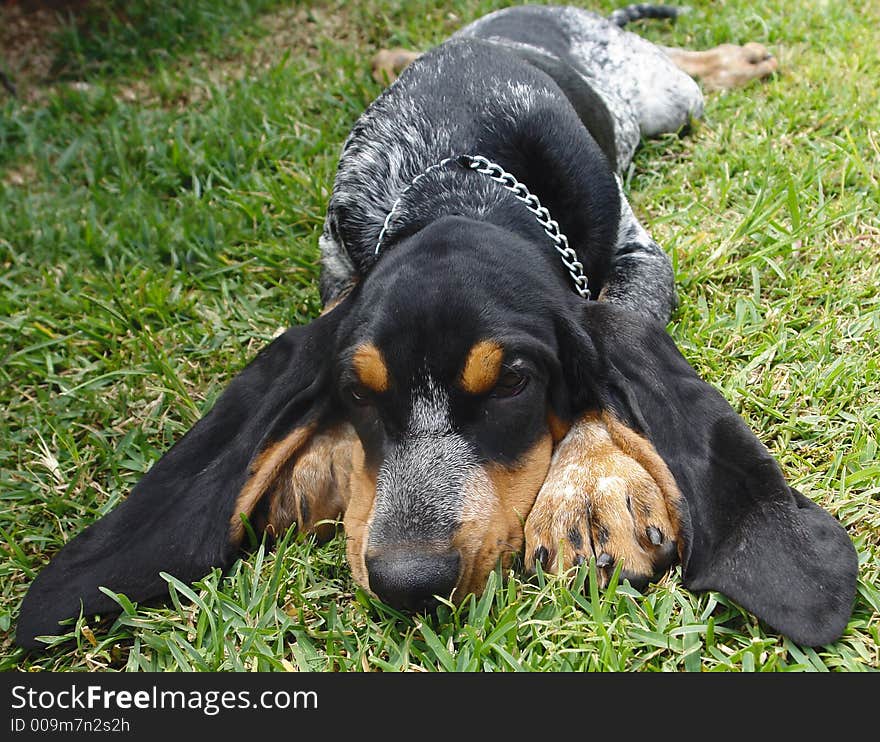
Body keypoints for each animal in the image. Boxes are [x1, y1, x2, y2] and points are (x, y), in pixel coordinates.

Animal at [17, 2, 856, 652]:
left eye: (515, 383)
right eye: (356, 392)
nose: (407, 581)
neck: (463, 179)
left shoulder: (637, 258)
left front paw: (589, 493)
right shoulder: (339, 264)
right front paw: (320, 462)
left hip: (663, 98)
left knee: (675, 67)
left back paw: (738, 58)